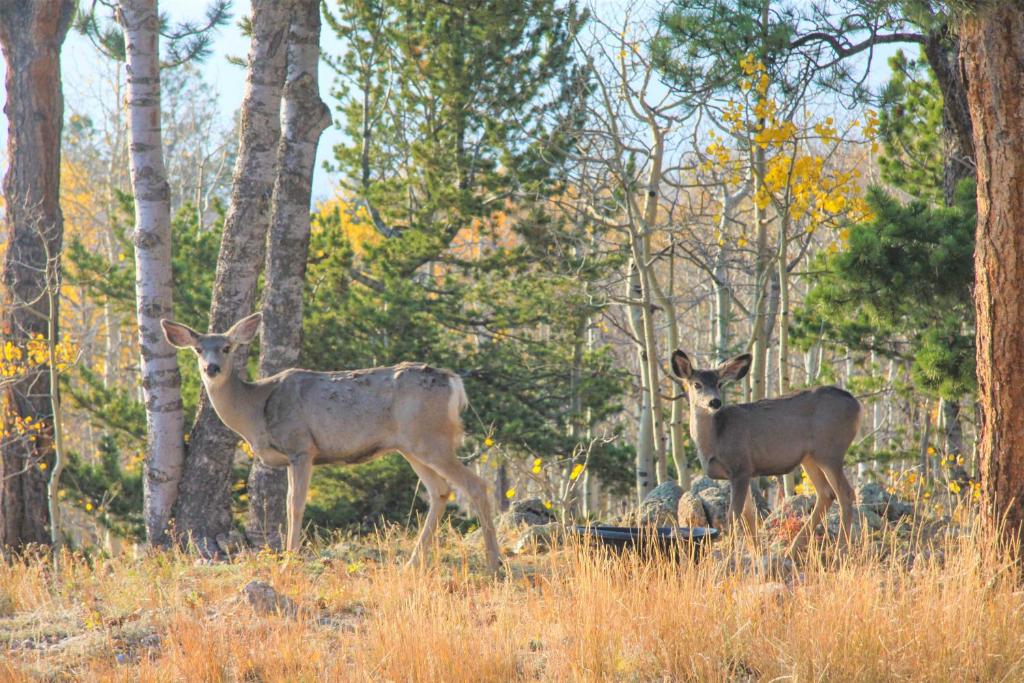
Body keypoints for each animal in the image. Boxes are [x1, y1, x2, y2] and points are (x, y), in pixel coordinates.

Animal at [161, 313, 501, 573]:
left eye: (227, 347)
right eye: (198, 350)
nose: (212, 368)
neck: (255, 407)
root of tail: (454, 382)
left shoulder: (301, 446)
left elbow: (294, 504)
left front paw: (290, 560)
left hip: (432, 439)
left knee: (476, 485)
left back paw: (493, 563)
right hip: (412, 446)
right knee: (440, 490)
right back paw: (413, 563)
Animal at [671, 350, 864, 552]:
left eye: (719, 383)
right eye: (697, 384)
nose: (715, 402)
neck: (715, 438)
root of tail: (857, 405)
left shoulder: (740, 467)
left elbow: (733, 515)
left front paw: (729, 554)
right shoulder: (743, 473)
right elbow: (749, 516)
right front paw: (756, 552)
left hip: (830, 451)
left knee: (845, 493)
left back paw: (840, 549)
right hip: (810, 458)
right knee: (826, 493)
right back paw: (792, 550)